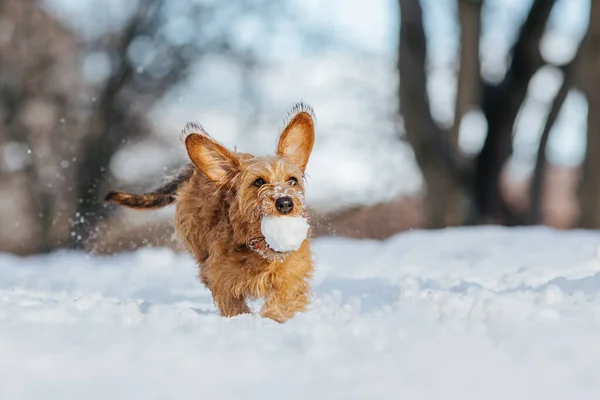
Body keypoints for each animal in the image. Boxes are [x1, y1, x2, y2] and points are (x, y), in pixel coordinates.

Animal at [105, 101, 316, 324]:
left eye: (292, 180)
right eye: (258, 181)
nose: (285, 203)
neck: (258, 249)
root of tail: (194, 170)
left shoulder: (293, 273)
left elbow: (284, 296)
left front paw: (273, 317)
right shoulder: (224, 281)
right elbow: (233, 305)